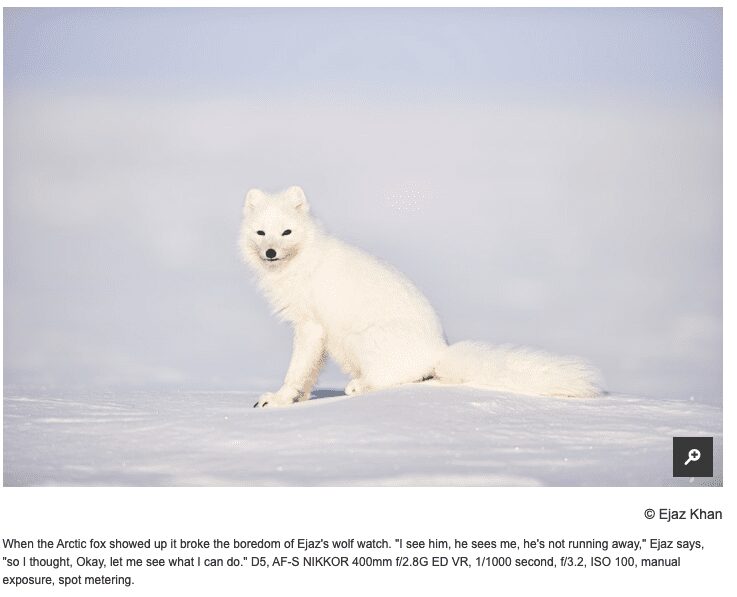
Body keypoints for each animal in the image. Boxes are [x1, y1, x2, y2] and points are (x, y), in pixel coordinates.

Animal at [240, 186, 601, 407]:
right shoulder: (314, 333)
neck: (302, 263)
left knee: (404, 380)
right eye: (261, 232)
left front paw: (278, 399)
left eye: (287, 232)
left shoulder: (311, 327)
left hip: (361, 339)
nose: (270, 252)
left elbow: (297, 369)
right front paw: (299, 400)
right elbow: (310, 373)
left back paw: (360, 386)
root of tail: (438, 351)